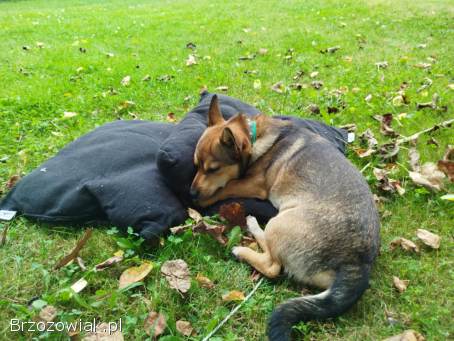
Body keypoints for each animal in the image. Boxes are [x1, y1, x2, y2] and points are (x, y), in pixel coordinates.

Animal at [190, 95, 382, 340]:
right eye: (196, 165)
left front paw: (205, 200)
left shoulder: (252, 185)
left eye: (213, 169)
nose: (191, 193)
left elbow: (227, 187)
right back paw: (252, 225)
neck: (255, 138)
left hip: (279, 223)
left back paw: (243, 247)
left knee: (273, 266)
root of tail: (358, 262)